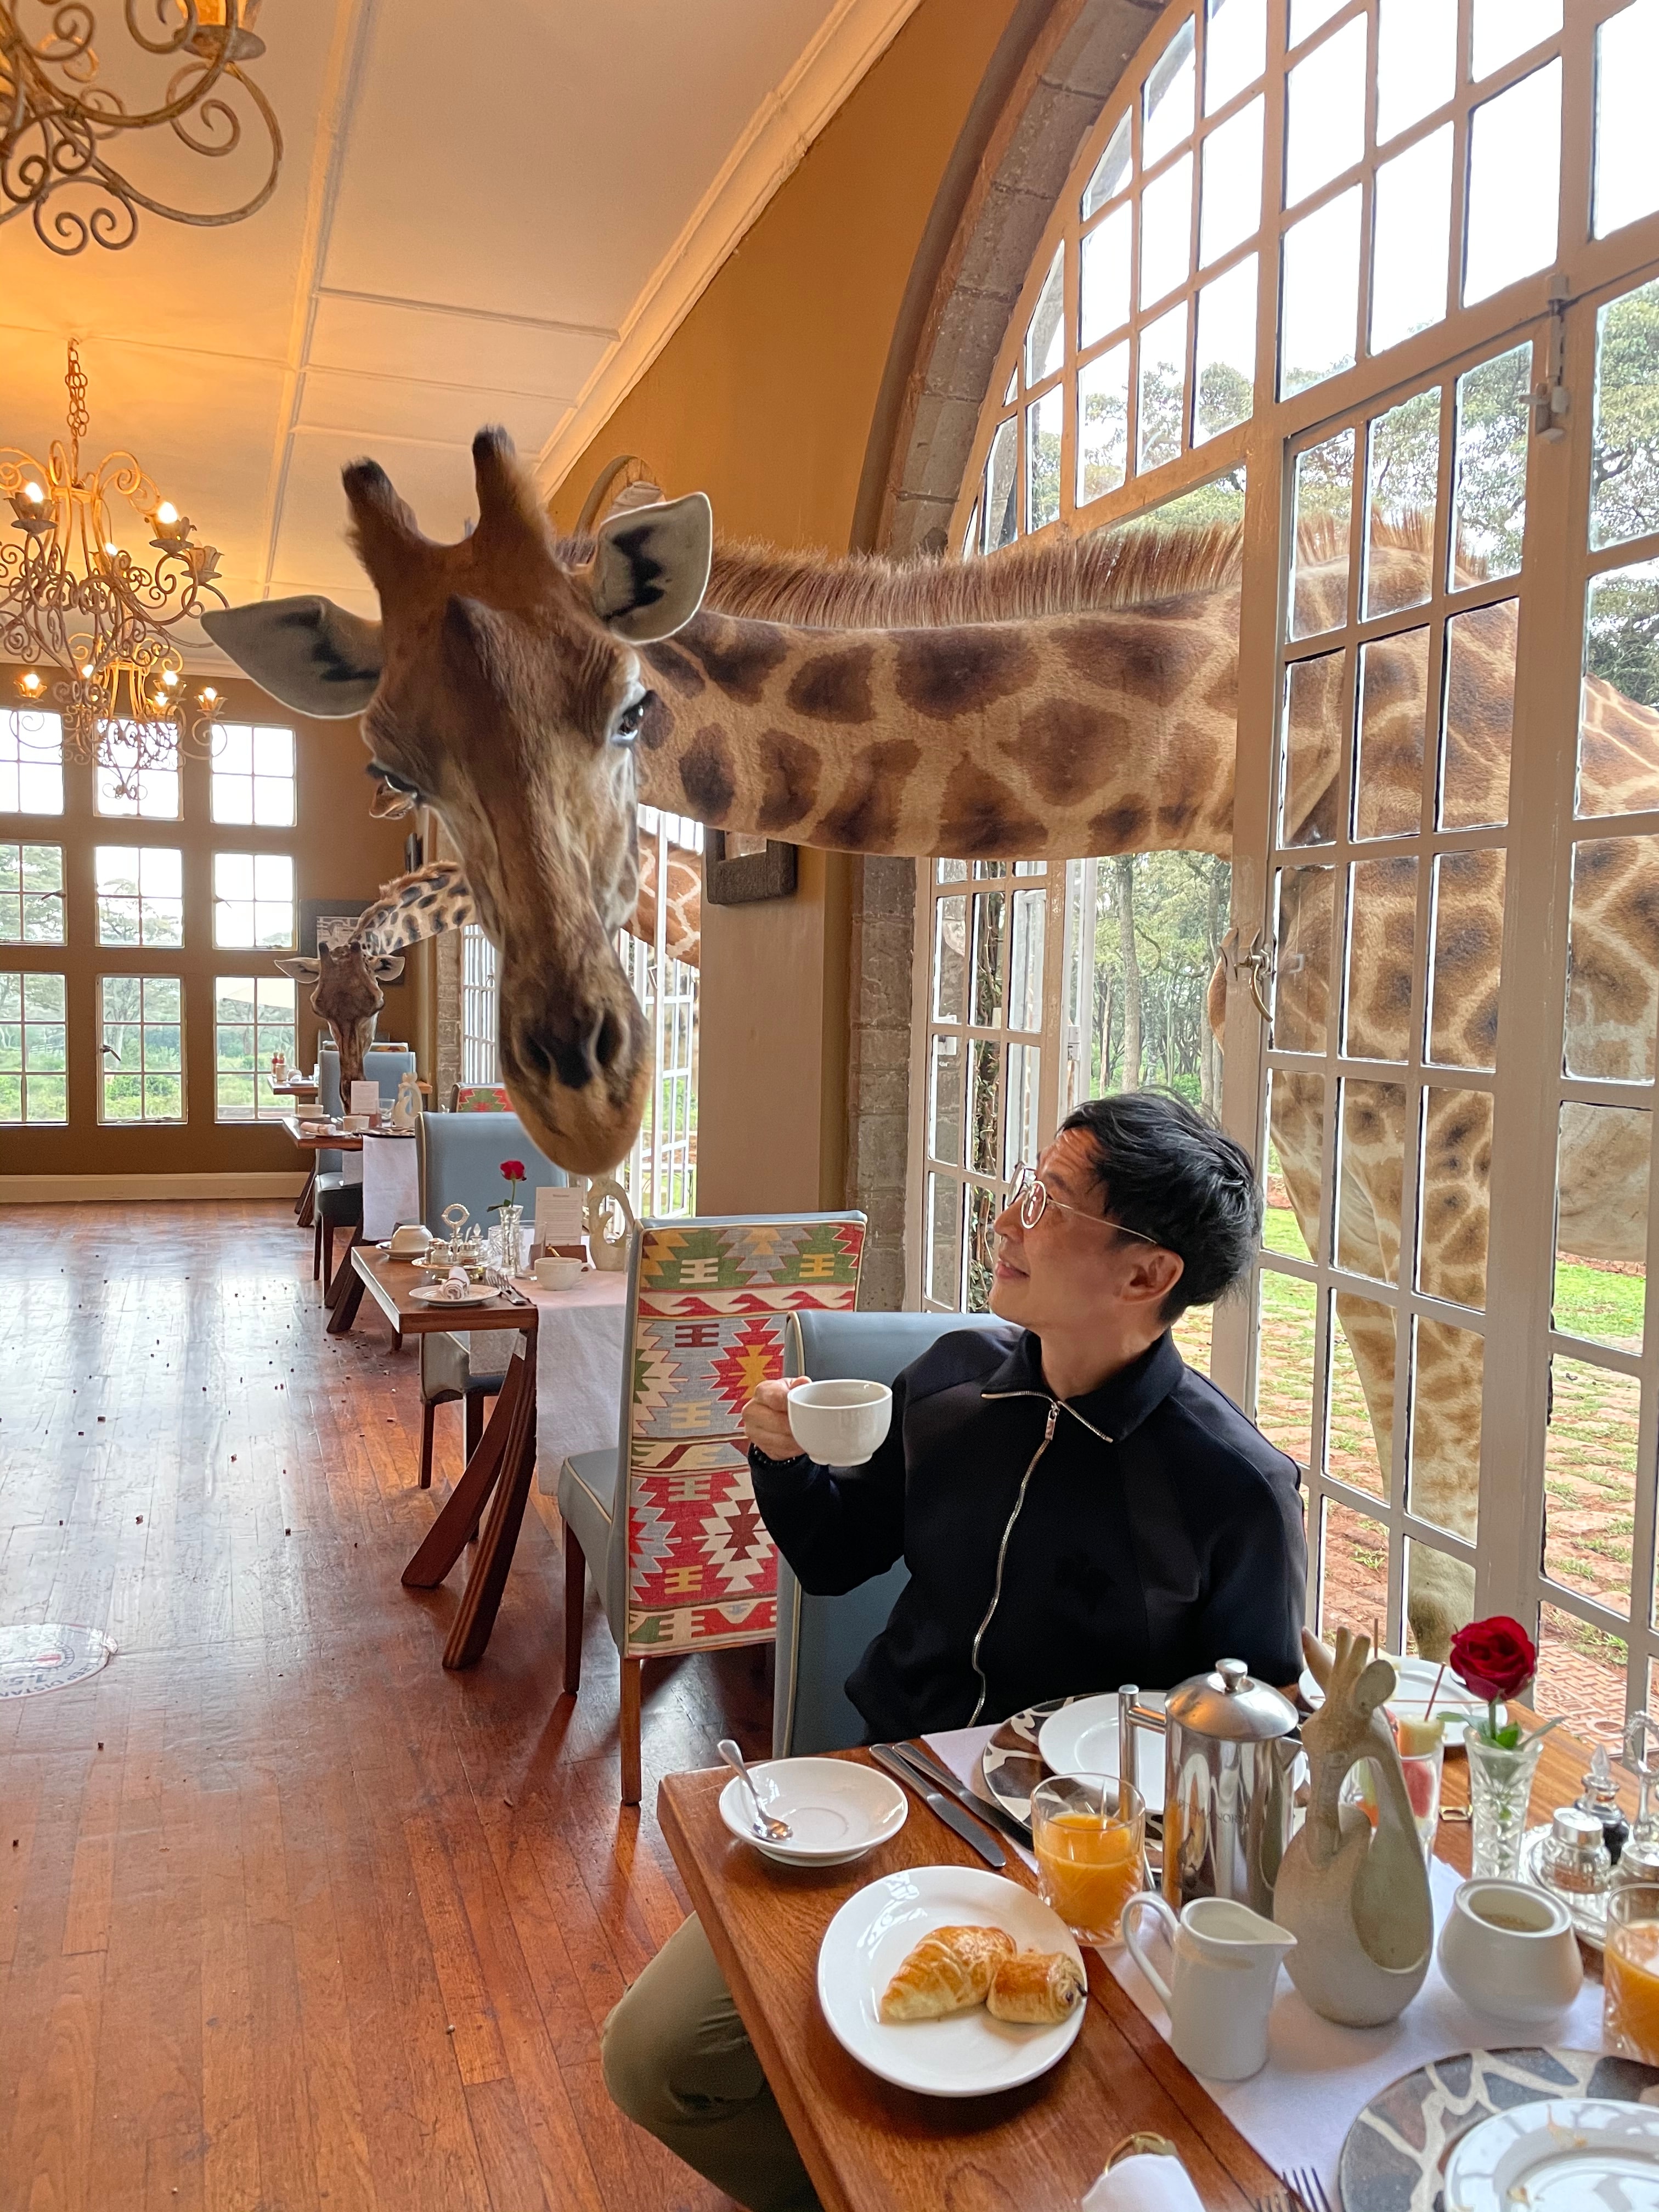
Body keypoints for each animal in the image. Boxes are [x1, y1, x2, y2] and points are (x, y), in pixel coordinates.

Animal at [201, 429, 1659, 1656]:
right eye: (392, 763)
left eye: (631, 708)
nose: (583, 1095)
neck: (1281, 736)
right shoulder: (1342, 1185)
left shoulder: (1447, 1190)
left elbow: (1449, 1577)